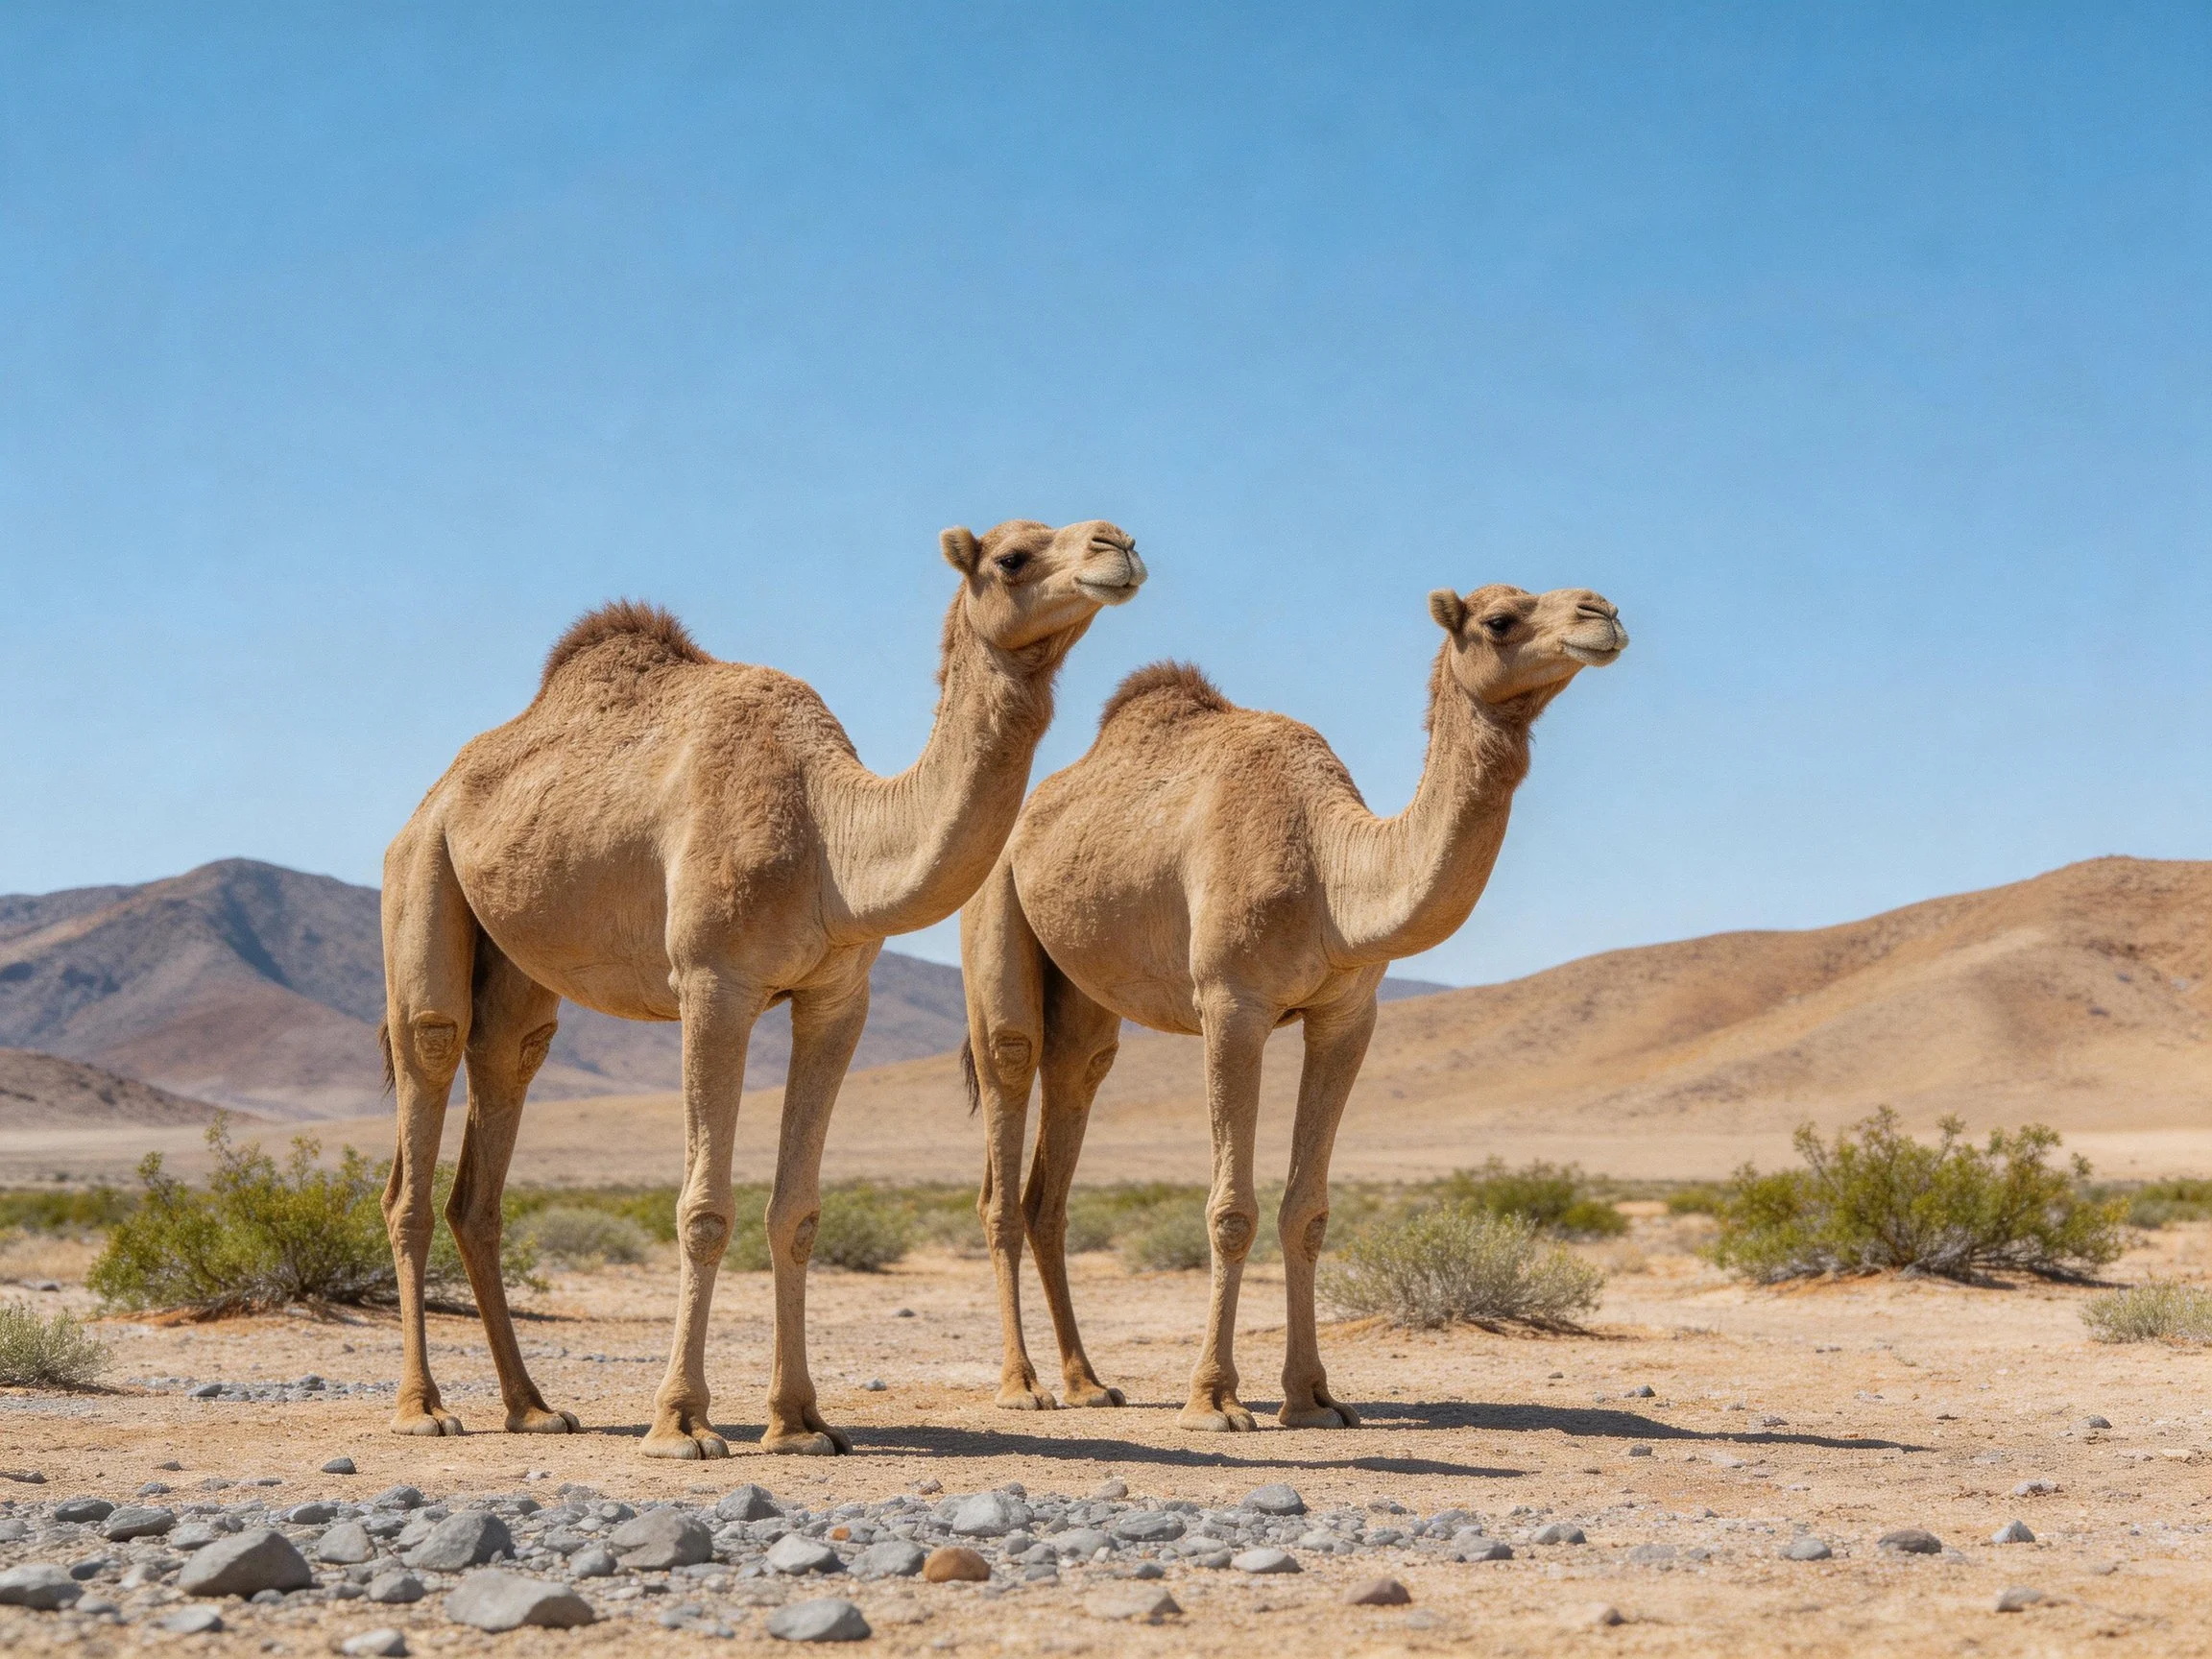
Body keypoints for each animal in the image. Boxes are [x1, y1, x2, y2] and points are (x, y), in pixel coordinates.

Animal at [378, 518, 1145, 1458]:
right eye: (1011, 557)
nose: (1118, 544)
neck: (830, 835)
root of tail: (434, 798)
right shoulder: (714, 984)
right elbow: (704, 1209)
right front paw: (682, 1422)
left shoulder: (837, 1000)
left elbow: (798, 1211)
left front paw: (800, 1422)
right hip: (424, 877)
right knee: (424, 1091)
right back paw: (423, 1408)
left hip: (518, 971)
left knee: (492, 1122)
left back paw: (533, 1406)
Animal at [959, 582, 1626, 1430]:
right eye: (1500, 620)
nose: (1601, 613)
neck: (1328, 869)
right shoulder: (1230, 1005)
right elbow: (1231, 1212)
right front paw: (1214, 1399)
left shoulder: (1347, 1018)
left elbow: (1305, 1213)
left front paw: (1312, 1397)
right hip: (995, 909)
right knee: (1006, 1110)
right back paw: (1023, 1385)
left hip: (1084, 992)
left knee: (1067, 1120)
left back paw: (1087, 1381)